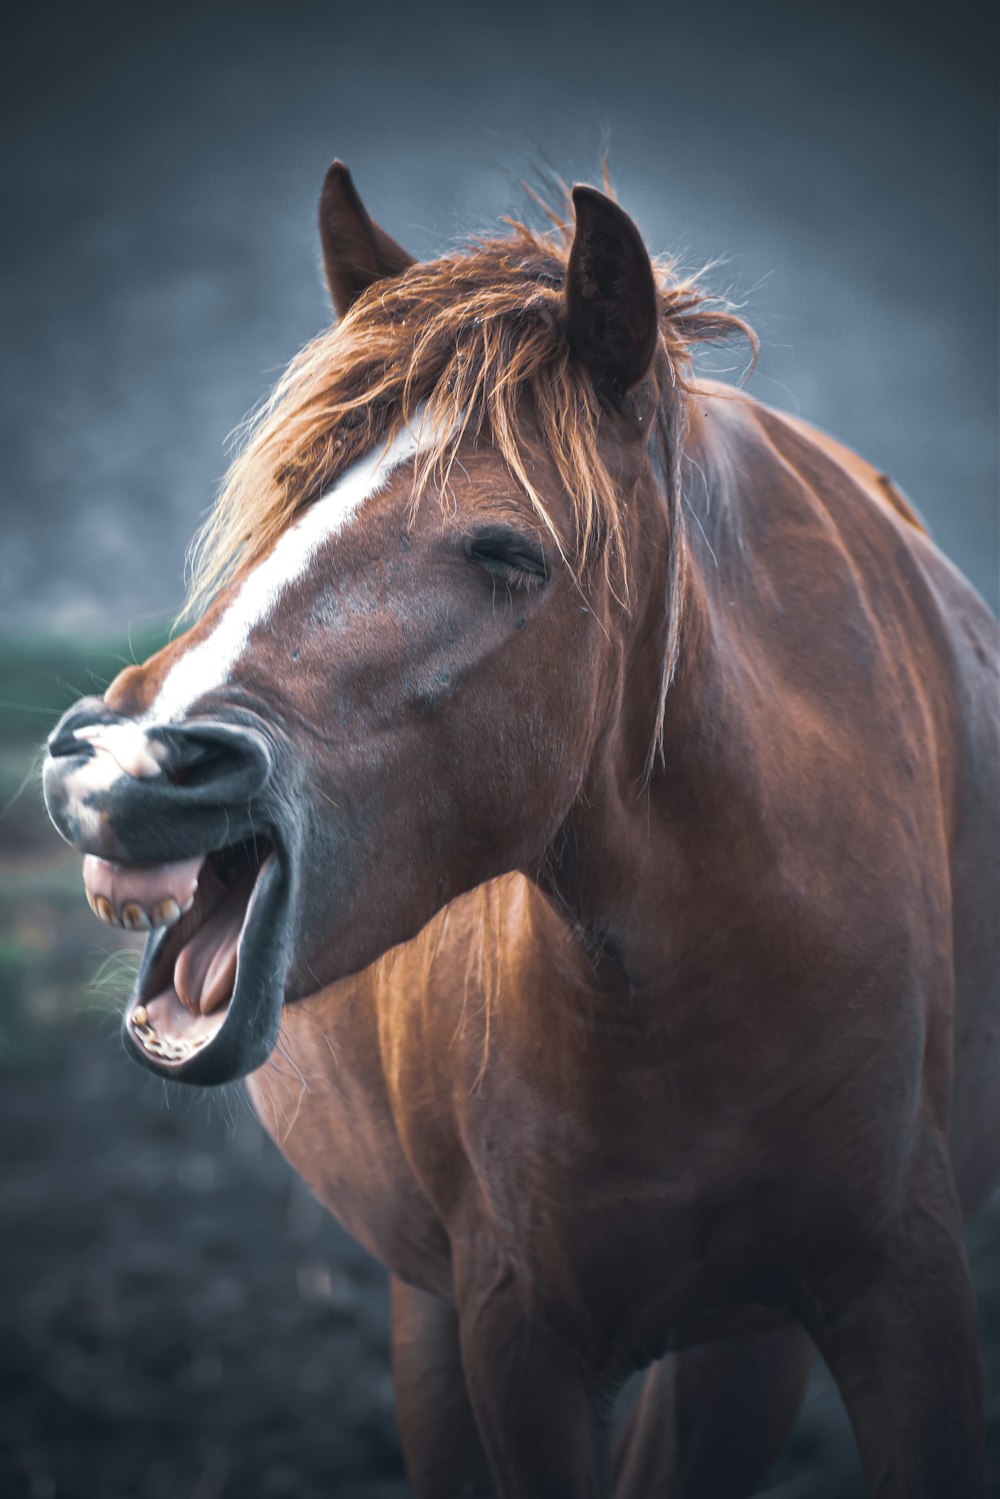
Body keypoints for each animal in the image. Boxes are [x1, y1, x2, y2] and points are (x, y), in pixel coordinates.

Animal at [43, 164, 995, 1499]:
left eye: (505, 549)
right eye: (286, 498)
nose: (118, 763)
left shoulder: (901, 1287)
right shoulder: (516, 1332)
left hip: (742, 1338)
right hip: (440, 1309)